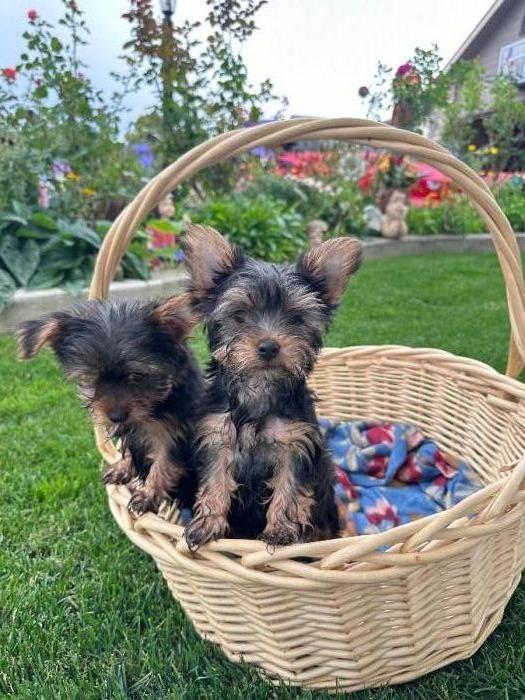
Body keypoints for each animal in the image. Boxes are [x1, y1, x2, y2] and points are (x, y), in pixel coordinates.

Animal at [17, 292, 204, 516]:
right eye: (91, 378)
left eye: (137, 377)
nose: (116, 416)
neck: (157, 406)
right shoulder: (130, 430)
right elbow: (129, 449)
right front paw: (123, 467)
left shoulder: (175, 435)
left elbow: (163, 464)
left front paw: (147, 495)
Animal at [182, 224, 362, 548]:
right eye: (240, 315)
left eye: (295, 318)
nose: (269, 346)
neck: (259, 388)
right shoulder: (218, 439)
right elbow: (216, 480)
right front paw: (207, 523)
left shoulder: (294, 444)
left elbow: (289, 488)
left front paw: (281, 530)